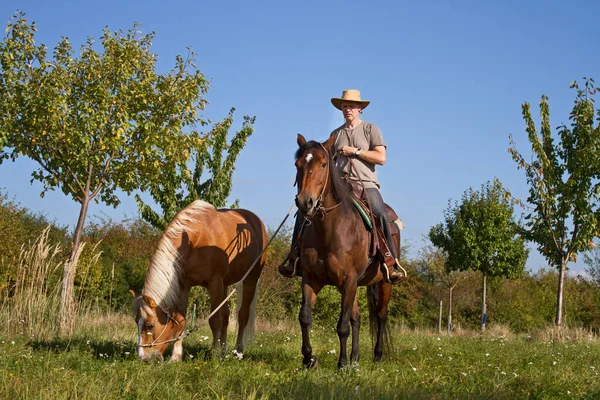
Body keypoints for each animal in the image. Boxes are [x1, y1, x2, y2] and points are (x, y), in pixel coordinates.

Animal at [131, 200, 268, 362]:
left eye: (150, 325)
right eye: (136, 321)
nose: (144, 358)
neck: (196, 239)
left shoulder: (215, 282)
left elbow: (215, 319)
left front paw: (215, 353)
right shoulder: (184, 286)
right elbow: (181, 321)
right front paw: (176, 357)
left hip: (250, 279)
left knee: (242, 315)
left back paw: (238, 351)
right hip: (225, 285)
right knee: (226, 315)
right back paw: (224, 350)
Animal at [294, 134, 398, 368]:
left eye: (324, 164)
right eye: (297, 164)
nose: (305, 202)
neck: (330, 230)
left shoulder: (349, 280)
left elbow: (342, 326)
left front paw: (341, 364)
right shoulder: (311, 278)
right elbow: (305, 317)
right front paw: (309, 359)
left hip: (383, 282)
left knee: (381, 315)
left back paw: (377, 356)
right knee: (356, 318)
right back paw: (355, 358)